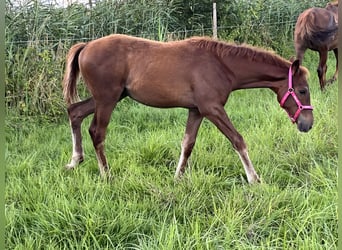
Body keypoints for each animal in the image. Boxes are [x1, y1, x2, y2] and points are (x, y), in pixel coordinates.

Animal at [61, 33, 312, 184]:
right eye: (302, 90)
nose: (307, 124)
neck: (221, 64)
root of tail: (86, 46)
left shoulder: (197, 110)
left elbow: (187, 144)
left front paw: (178, 177)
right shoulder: (212, 109)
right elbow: (238, 140)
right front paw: (254, 179)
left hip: (109, 97)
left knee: (75, 112)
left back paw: (75, 161)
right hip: (107, 99)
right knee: (97, 132)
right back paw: (106, 174)